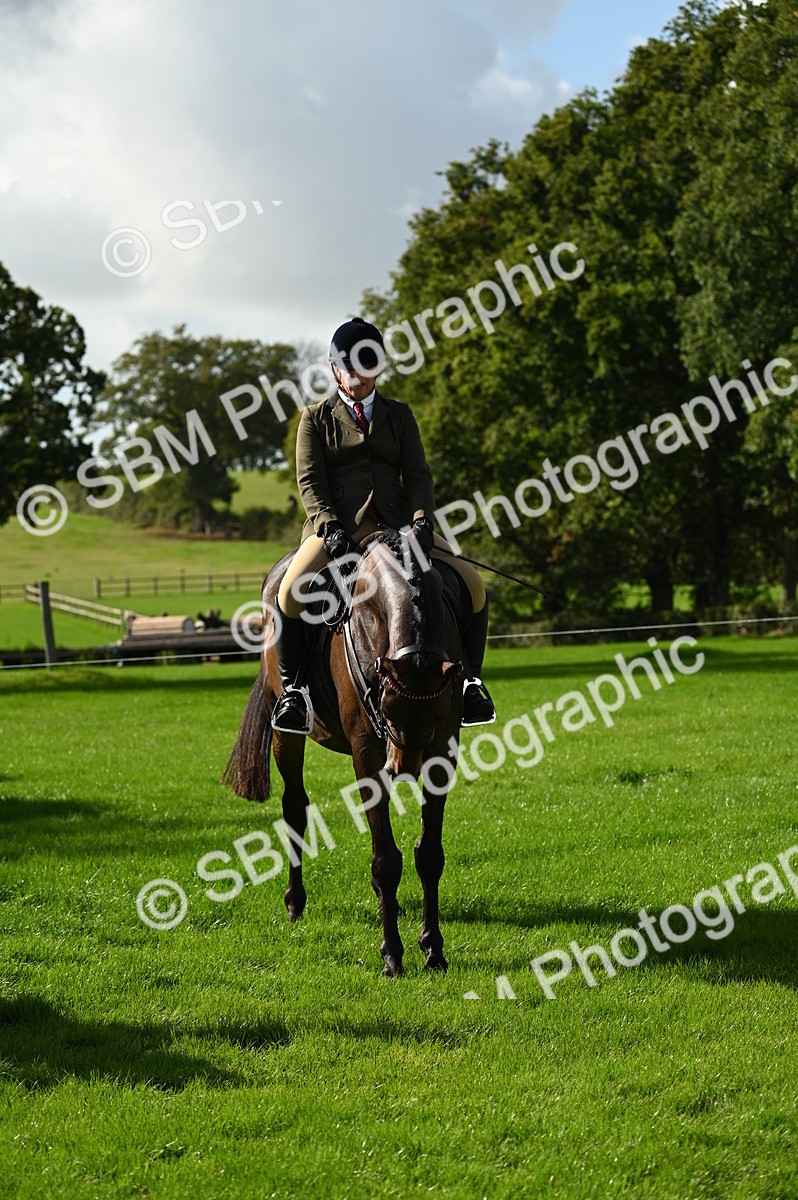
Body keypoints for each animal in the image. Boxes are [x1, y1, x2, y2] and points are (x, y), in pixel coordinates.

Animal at [222, 530, 467, 976]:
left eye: (438, 711)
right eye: (386, 707)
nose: (404, 770)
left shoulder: (442, 748)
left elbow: (429, 855)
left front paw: (433, 950)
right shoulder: (367, 753)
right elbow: (386, 861)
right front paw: (392, 956)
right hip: (285, 732)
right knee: (294, 808)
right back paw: (295, 903)